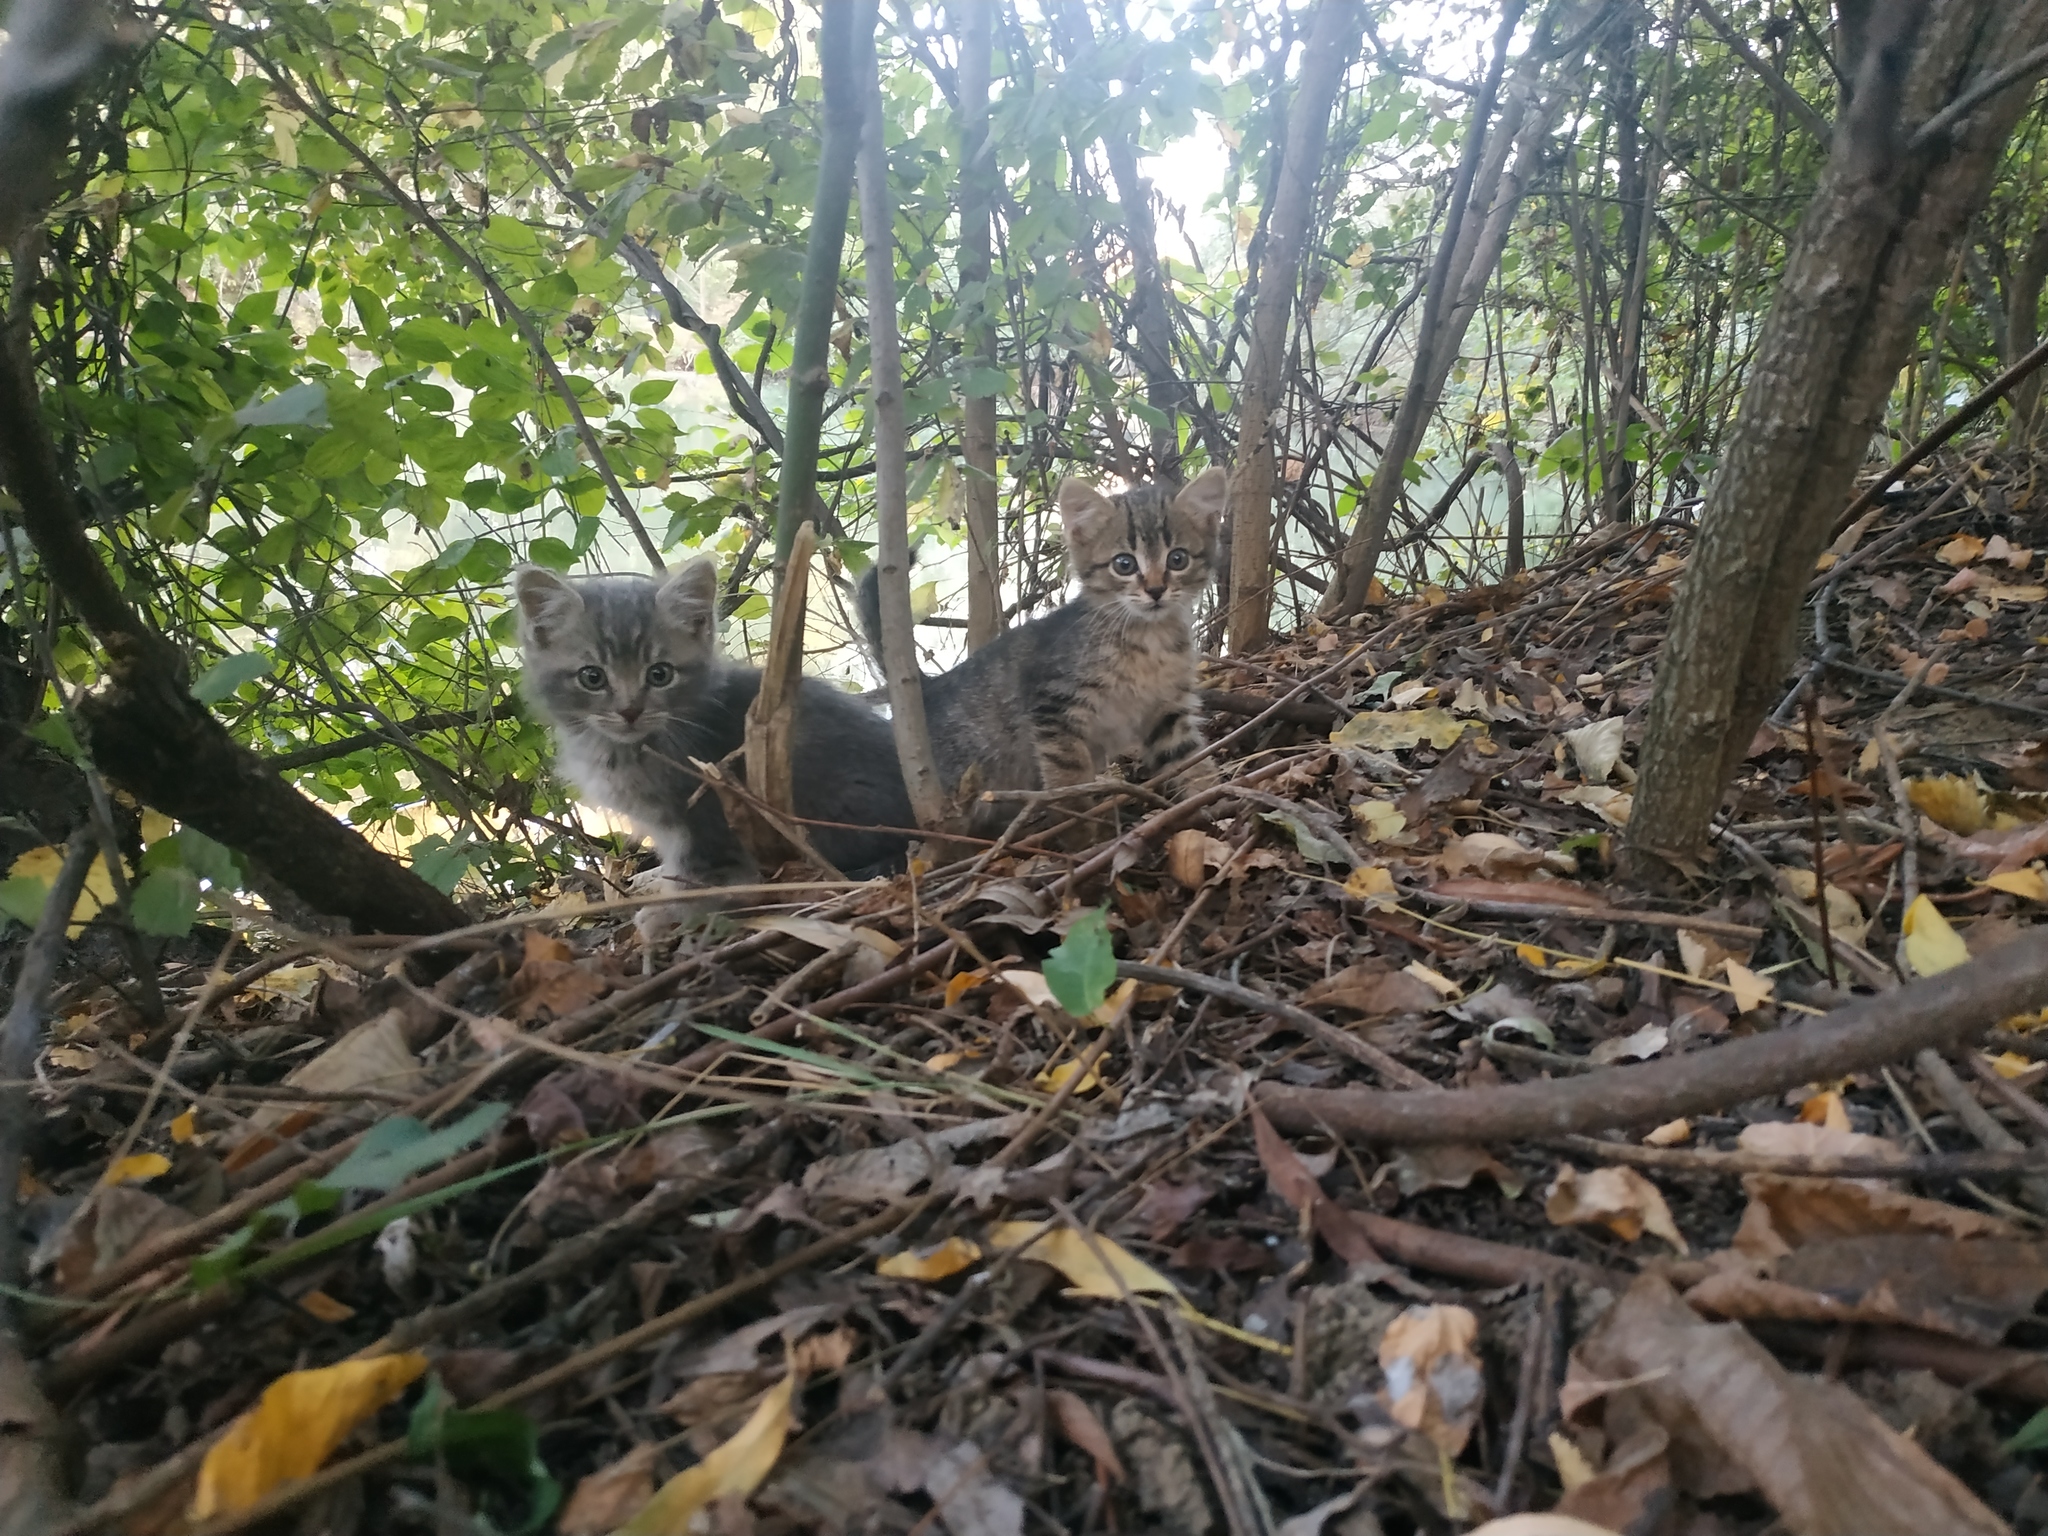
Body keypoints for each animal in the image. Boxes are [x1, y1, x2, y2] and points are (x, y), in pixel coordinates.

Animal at [860, 468, 1220, 823]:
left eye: (1177, 559)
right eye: (1124, 564)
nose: (1156, 590)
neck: (1149, 640)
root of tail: (929, 686)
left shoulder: (1168, 709)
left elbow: (1190, 760)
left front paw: (1211, 804)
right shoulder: (1052, 707)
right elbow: (1068, 780)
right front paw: (1080, 827)